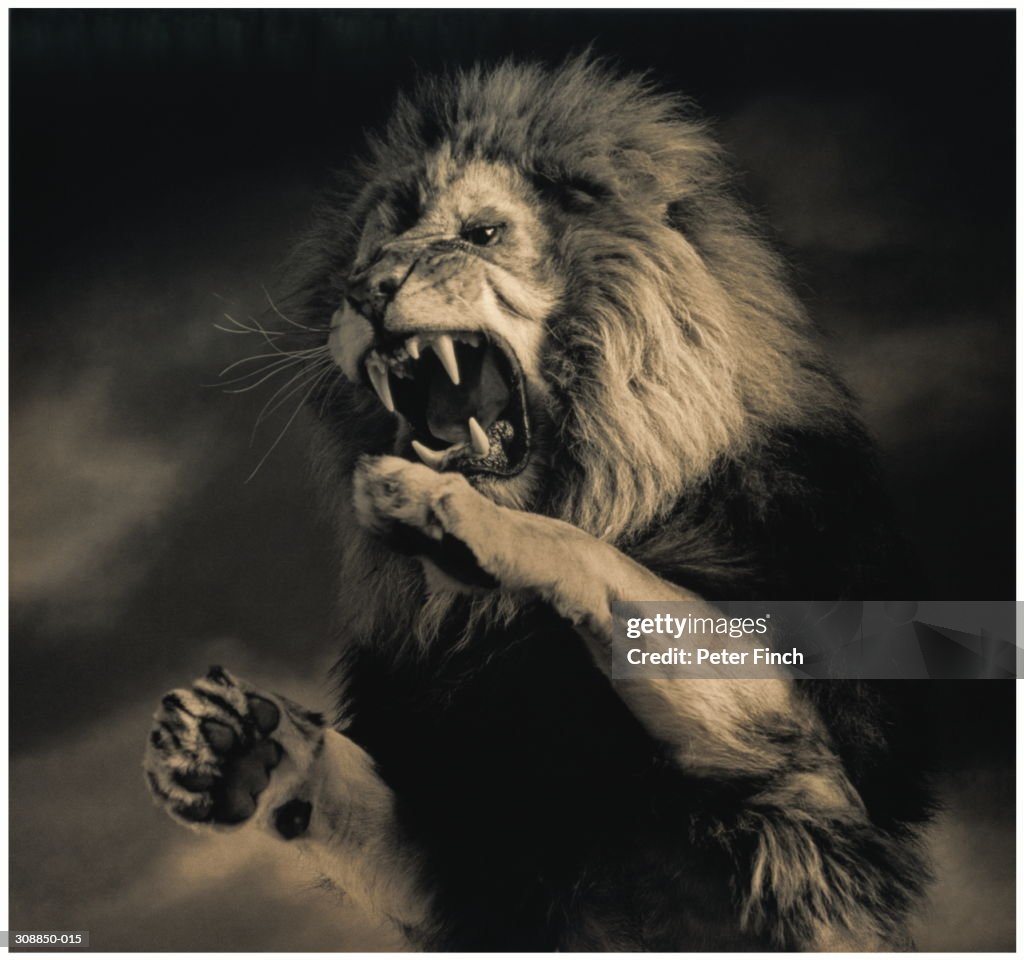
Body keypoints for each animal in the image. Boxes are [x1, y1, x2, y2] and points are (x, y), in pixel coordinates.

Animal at [144, 56, 937, 945]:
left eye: (482, 235)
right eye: (379, 244)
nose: (370, 286)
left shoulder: (809, 764)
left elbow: (590, 557)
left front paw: (440, 511)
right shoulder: (460, 866)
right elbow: (345, 791)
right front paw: (235, 743)